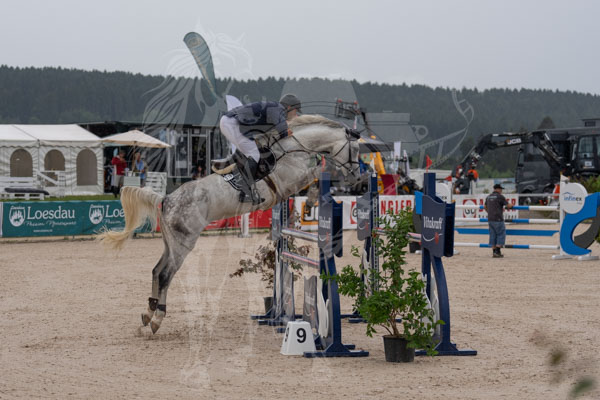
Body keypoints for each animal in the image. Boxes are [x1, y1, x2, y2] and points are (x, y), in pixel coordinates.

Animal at [100, 115, 361, 333]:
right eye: (356, 151)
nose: (358, 178)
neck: (293, 148)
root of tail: (165, 199)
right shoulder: (293, 180)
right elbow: (316, 172)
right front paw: (317, 193)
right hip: (184, 244)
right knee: (165, 275)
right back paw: (156, 319)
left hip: (171, 243)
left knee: (156, 270)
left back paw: (148, 313)